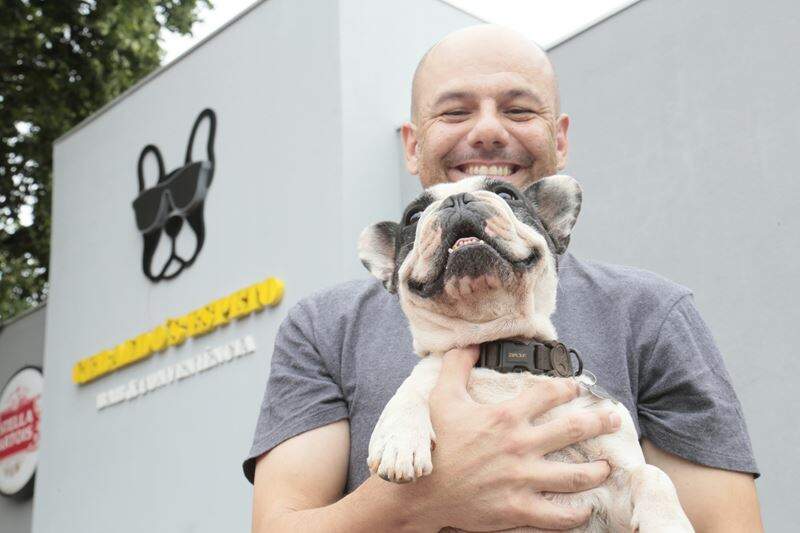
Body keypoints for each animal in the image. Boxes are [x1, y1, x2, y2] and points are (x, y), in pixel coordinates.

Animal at [356, 177, 692, 532]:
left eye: (506, 194)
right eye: (414, 216)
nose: (457, 199)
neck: (501, 344)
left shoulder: (612, 481)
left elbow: (653, 475)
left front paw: (667, 522)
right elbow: (410, 389)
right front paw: (399, 439)